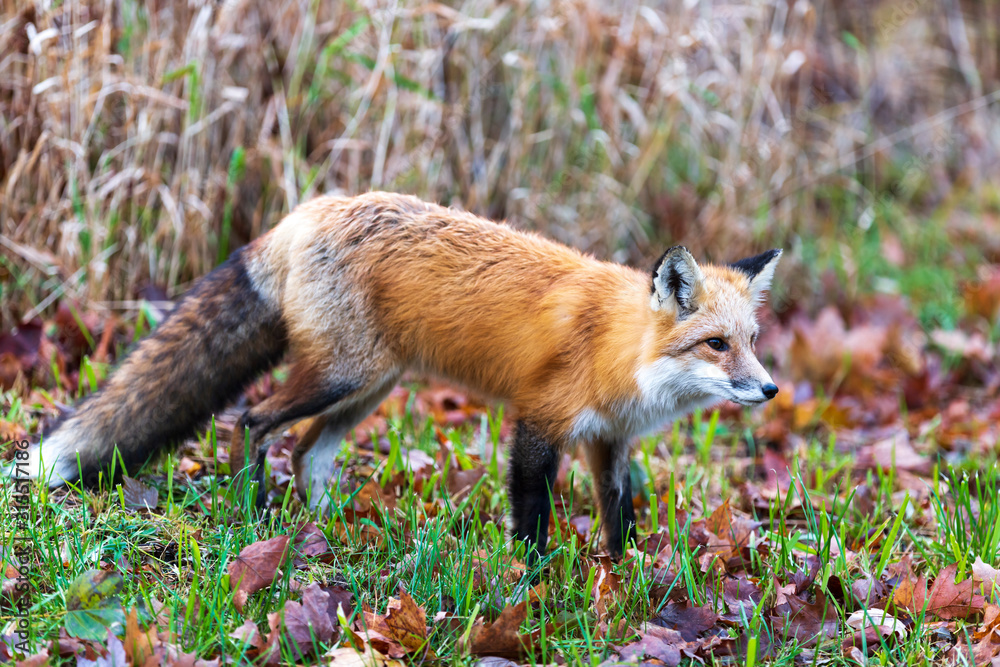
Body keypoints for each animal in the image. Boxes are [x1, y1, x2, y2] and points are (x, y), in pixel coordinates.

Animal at [25, 192, 780, 560]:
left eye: (750, 342)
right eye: (715, 345)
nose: (771, 389)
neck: (616, 349)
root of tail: (305, 212)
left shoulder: (609, 442)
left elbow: (618, 518)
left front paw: (620, 580)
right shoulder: (538, 422)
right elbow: (533, 516)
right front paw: (535, 584)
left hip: (369, 388)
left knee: (308, 452)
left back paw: (328, 526)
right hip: (341, 375)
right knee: (253, 420)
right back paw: (254, 509)